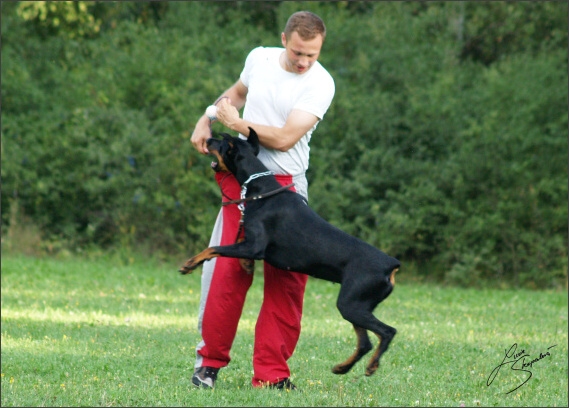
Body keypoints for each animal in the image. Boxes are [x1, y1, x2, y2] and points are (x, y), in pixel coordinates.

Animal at [181, 127, 400, 376]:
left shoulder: (255, 247)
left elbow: (213, 248)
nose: (207, 138)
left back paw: (372, 365)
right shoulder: (249, 241)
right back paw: (343, 367)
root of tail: (391, 264)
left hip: (351, 303)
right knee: (365, 342)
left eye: (222, 141)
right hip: (357, 305)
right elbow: (235, 242)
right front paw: (245, 264)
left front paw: (190, 263)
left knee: (387, 332)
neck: (261, 187)